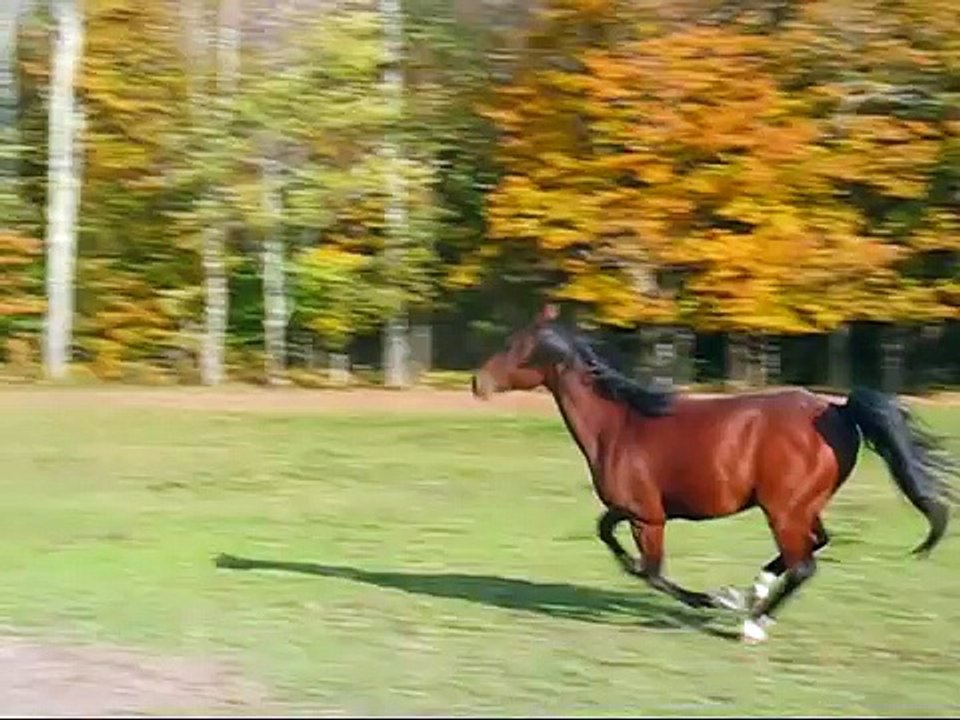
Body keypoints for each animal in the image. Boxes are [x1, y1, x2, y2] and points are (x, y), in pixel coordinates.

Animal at [470, 304, 959, 643]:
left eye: (516, 346)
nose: (478, 383)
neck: (620, 425)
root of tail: (837, 410)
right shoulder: (631, 510)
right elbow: (610, 538)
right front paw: (722, 596)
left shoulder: (648, 517)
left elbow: (650, 571)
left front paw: (708, 600)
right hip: (801, 507)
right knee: (813, 547)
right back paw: (751, 594)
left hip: (783, 510)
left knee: (804, 564)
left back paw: (751, 623)